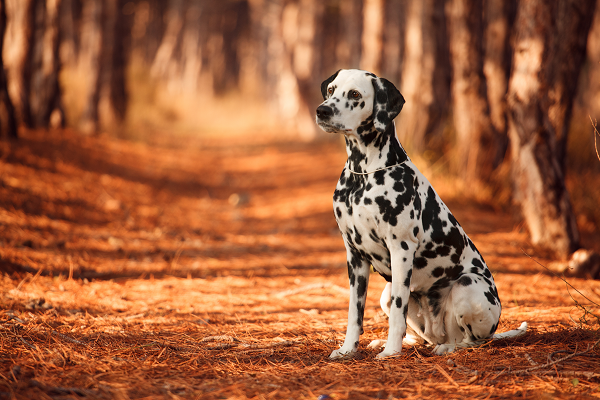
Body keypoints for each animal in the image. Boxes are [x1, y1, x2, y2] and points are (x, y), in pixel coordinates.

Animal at [314, 69, 524, 360]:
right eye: (332, 90)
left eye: (355, 94)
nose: (322, 110)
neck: (363, 175)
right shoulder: (354, 256)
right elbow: (354, 313)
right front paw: (348, 349)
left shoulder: (401, 249)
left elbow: (397, 314)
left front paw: (391, 352)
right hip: (387, 292)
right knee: (420, 335)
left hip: (468, 285)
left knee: (472, 340)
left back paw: (446, 347)